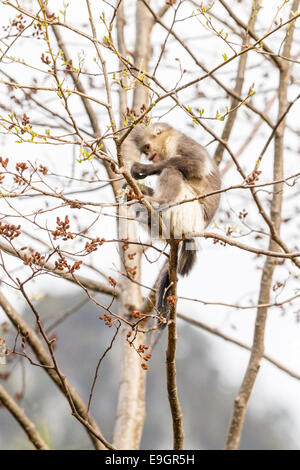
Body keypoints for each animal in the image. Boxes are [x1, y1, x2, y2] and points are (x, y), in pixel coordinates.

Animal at [129, 122, 220, 326]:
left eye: (147, 147)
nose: (148, 156)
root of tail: (198, 228)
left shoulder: (181, 143)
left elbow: (197, 163)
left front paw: (143, 168)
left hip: (186, 209)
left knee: (171, 170)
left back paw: (158, 202)